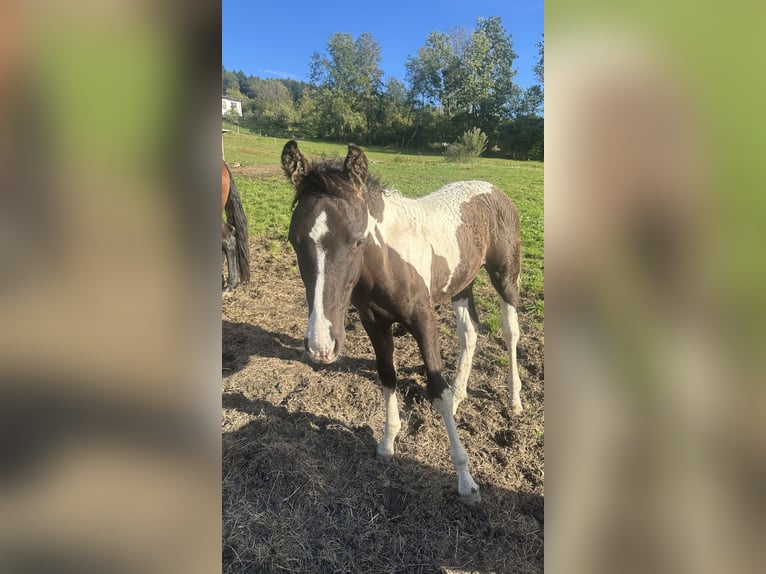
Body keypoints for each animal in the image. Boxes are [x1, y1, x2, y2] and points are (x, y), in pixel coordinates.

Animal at [281, 140, 523, 505]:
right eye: (295, 240)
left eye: (357, 239)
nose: (321, 346)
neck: (386, 263)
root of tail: (492, 188)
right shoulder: (374, 323)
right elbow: (387, 376)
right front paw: (387, 443)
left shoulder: (424, 321)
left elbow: (436, 390)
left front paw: (466, 481)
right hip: (461, 282)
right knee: (469, 332)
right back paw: (461, 393)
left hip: (505, 275)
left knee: (510, 332)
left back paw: (514, 399)